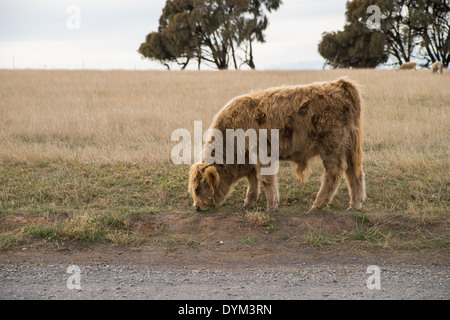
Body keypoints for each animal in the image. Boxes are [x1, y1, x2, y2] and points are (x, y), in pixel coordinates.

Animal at [188, 77, 368, 215]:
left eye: (199, 188)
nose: (196, 207)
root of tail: (339, 84)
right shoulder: (250, 160)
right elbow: (252, 180)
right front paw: (248, 203)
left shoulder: (261, 154)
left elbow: (265, 179)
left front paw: (271, 207)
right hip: (349, 147)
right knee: (354, 172)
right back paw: (355, 205)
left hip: (332, 146)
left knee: (334, 172)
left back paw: (317, 206)